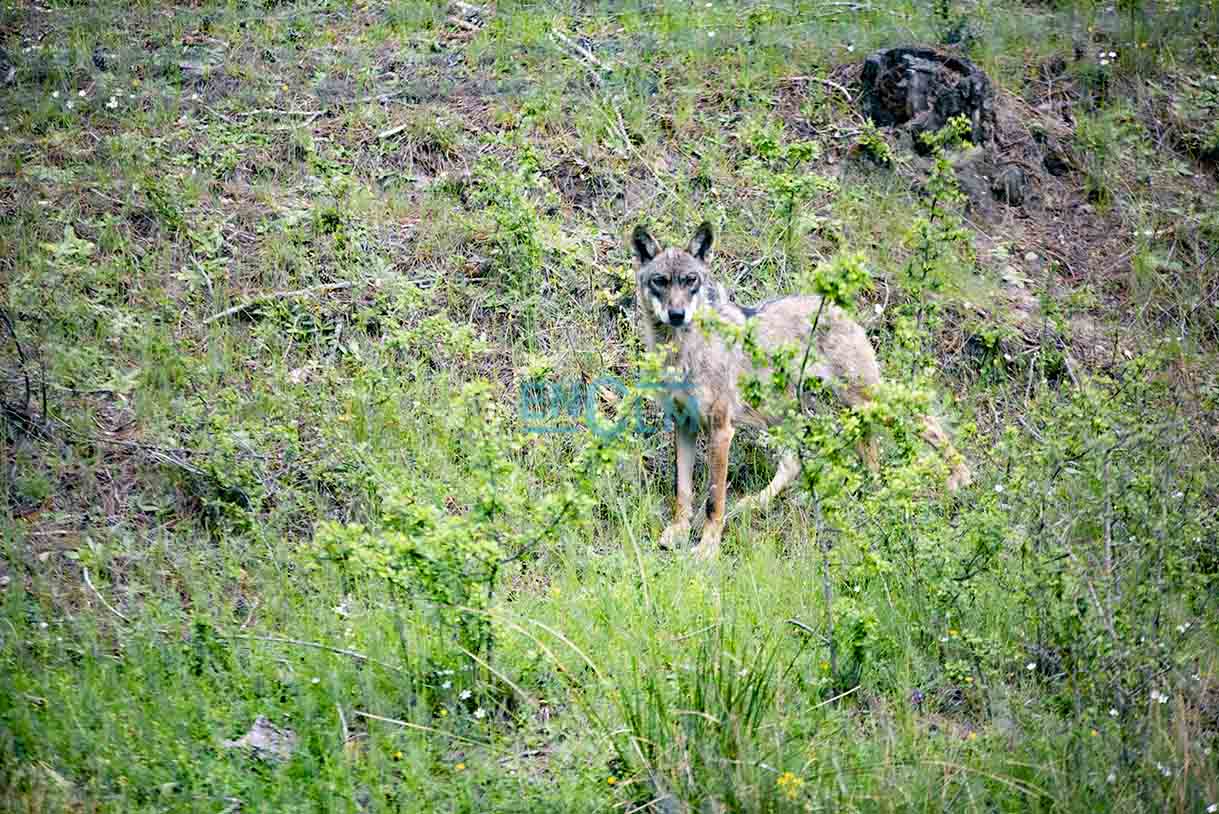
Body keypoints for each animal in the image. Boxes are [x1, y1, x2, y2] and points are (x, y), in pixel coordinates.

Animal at [632, 221, 972, 560]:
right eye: (660, 281)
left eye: (691, 280)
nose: (677, 315)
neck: (681, 350)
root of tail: (839, 308)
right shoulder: (684, 425)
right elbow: (683, 491)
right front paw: (677, 532)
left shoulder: (721, 429)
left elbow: (714, 501)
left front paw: (707, 548)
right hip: (787, 413)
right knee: (800, 461)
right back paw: (758, 503)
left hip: (859, 400)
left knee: (926, 423)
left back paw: (960, 479)